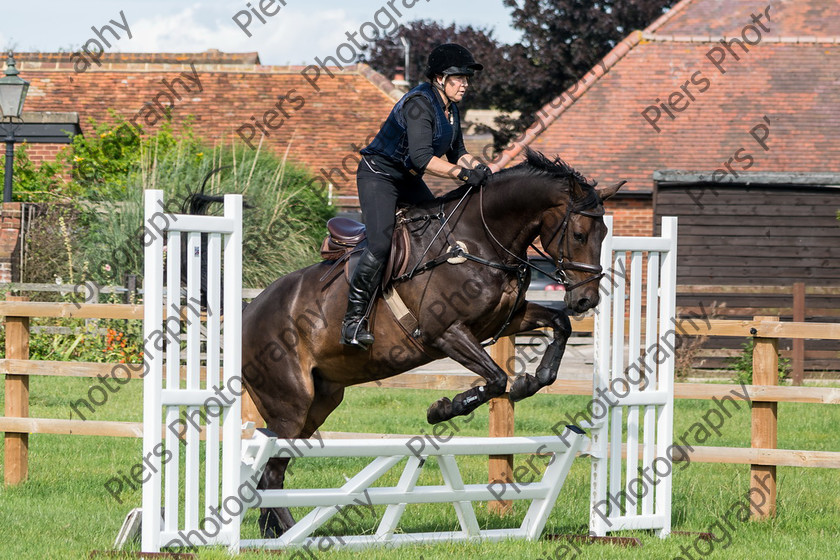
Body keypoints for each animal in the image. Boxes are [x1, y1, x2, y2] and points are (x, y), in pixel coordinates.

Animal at [236, 151, 624, 536]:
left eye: (605, 233)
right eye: (578, 234)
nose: (586, 300)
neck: (477, 241)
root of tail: (248, 311)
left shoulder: (505, 320)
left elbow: (559, 325)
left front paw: (530, 381)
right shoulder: (446, 332)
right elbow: (496, 378)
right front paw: (444, 408)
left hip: (321, 401)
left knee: (274, 470)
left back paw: (276, 531)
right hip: (291, 403)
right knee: (271, 472)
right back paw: (290, 536)